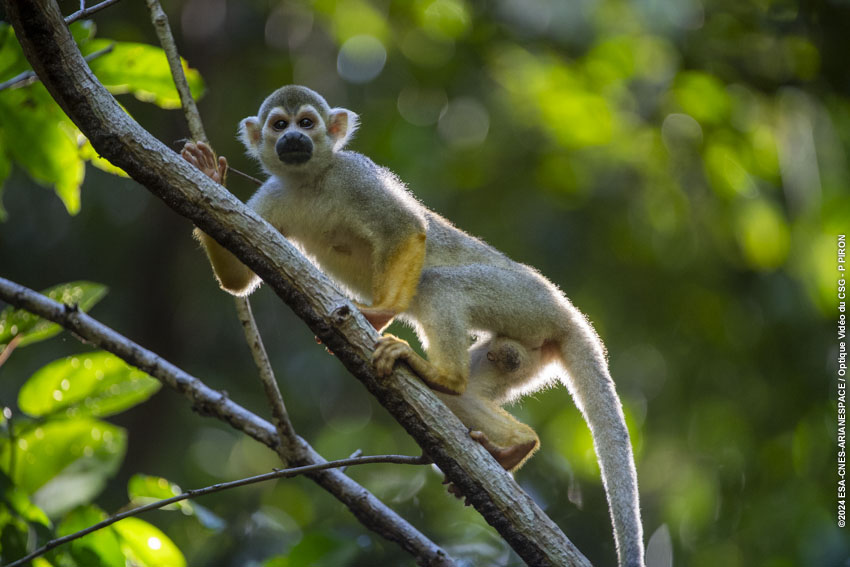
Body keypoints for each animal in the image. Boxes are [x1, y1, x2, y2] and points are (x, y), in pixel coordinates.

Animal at [184, 85, 644, 567]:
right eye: (279, 125)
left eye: (306, 122)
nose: (293, 138)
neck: (310, 179)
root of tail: (568, 314)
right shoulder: (275, 194)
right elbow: (238, 277)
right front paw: (208, 178)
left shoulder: (355, 173)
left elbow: (406, 228)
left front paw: (378, 312)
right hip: (527, 349)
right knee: (465, 396)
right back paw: (517, 440)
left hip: (523, 299)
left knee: (437, 287)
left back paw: (443, 374)